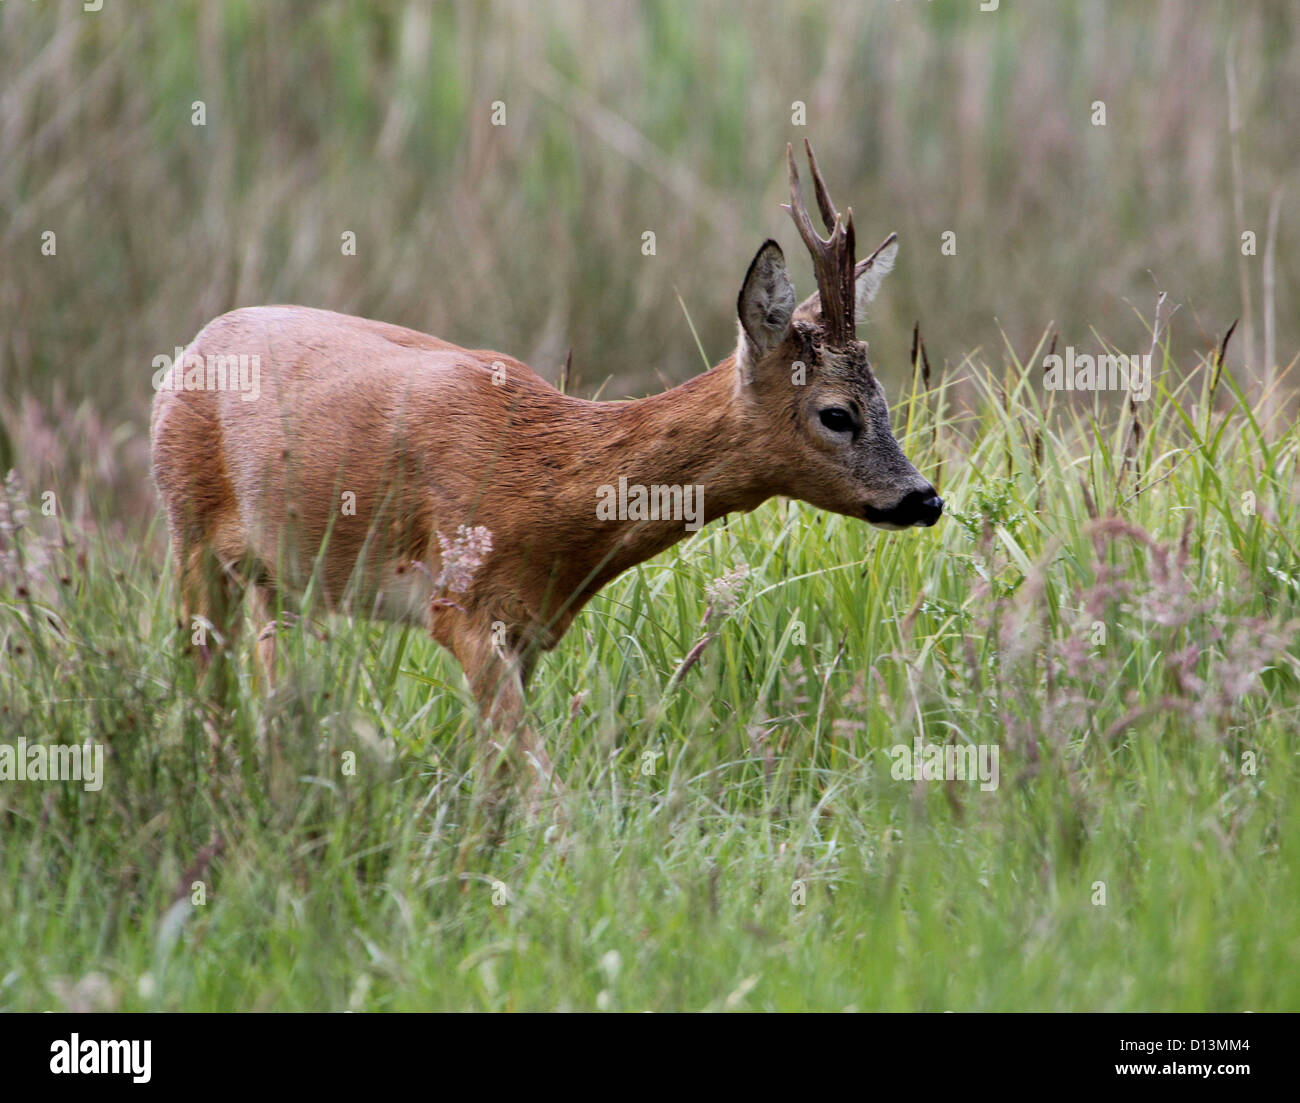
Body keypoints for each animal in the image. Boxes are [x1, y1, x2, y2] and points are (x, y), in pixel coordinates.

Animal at [151, 140, 943, 799]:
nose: (925, 498)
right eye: (837, 413)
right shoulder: (461, 606)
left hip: (279, 577)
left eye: (886, 398)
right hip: (190, 534)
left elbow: (498, 780)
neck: (550, 485)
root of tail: (189, 349)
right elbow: (540, 785)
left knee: (272, 690)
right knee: (206, 684)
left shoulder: (527, 630)